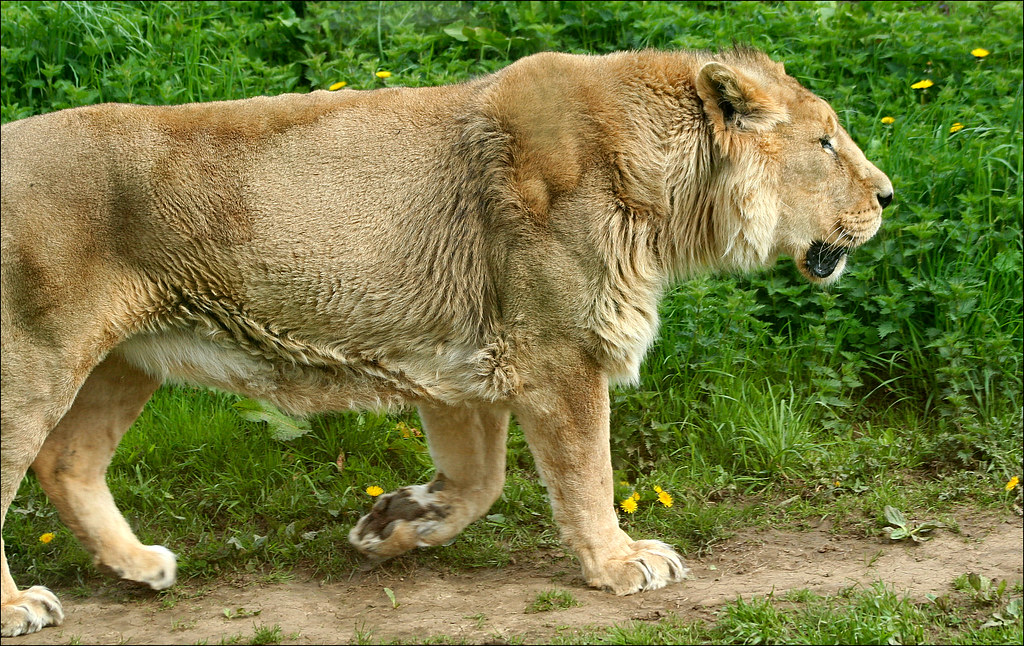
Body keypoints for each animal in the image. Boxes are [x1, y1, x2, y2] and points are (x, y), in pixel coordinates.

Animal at [0, 47, 892, 636]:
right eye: (825, 143)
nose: (887, 195)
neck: (670, 191)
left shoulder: (466, 362)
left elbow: (481, 481)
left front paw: (395, 524)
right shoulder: (557, 352)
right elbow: (588, 473)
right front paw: (617, 562)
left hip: (121, 360)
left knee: (67, 460)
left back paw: (139, 565)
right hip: (35, 359)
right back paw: (18, 607)